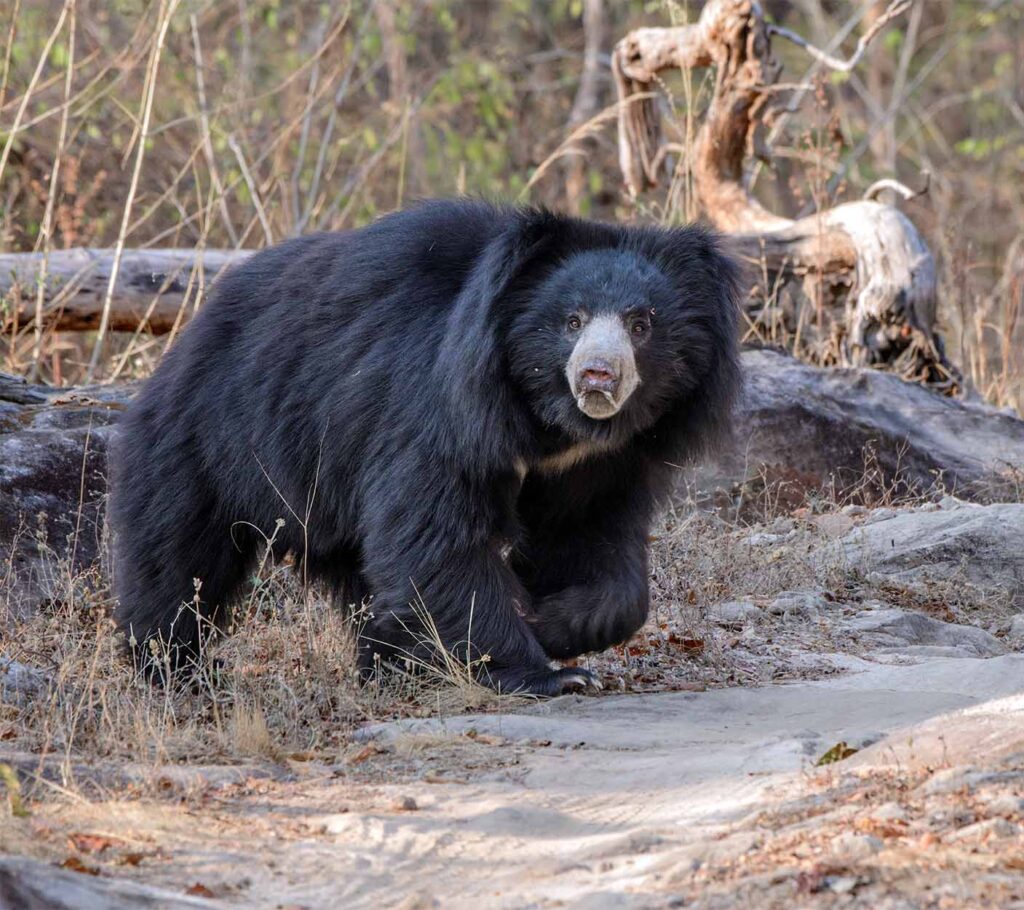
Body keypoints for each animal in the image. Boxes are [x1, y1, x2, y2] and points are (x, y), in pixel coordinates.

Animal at [108, 199, 741, 696]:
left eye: (641, 323)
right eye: (572, 320)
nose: (597, 377)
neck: (550, 424)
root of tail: (184, 341)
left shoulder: (599, 464)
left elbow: (595, 546)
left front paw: (552, 624)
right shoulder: (436, 409)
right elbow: (437, 538)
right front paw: (548, 672)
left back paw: (393, 665)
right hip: (207, 443)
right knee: (178, 558)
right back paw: (176, 670)